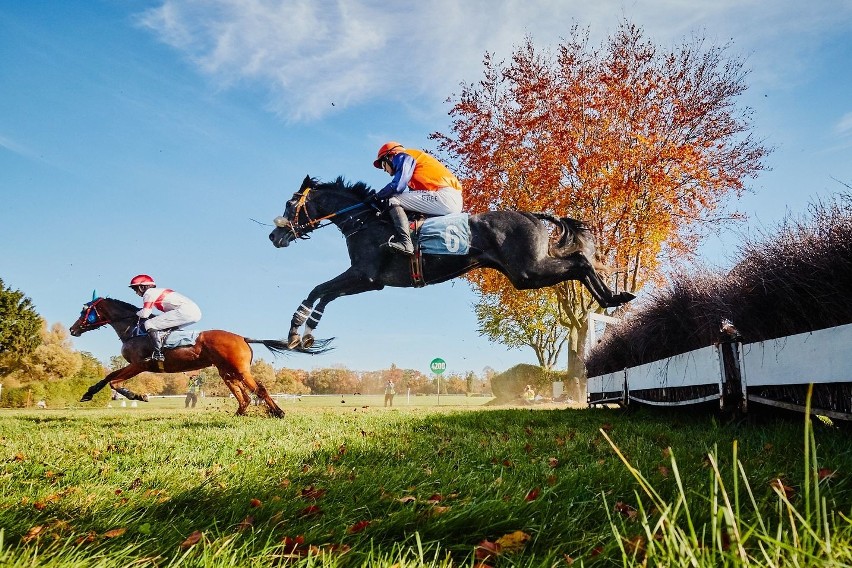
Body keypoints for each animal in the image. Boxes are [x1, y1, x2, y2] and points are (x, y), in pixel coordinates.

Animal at [70, 298, 328, 418]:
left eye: (85, 311)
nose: (73, 329)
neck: (134, 329)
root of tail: (242, 337)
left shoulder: (139, 364)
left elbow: (115, 382)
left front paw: (139, 396)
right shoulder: (132, 365)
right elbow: (108, 377)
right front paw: (87, 393)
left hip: (239, 370)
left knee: (259, 389)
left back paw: (278, 412)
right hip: (226, 371)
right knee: (244, 396)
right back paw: (239, 414)